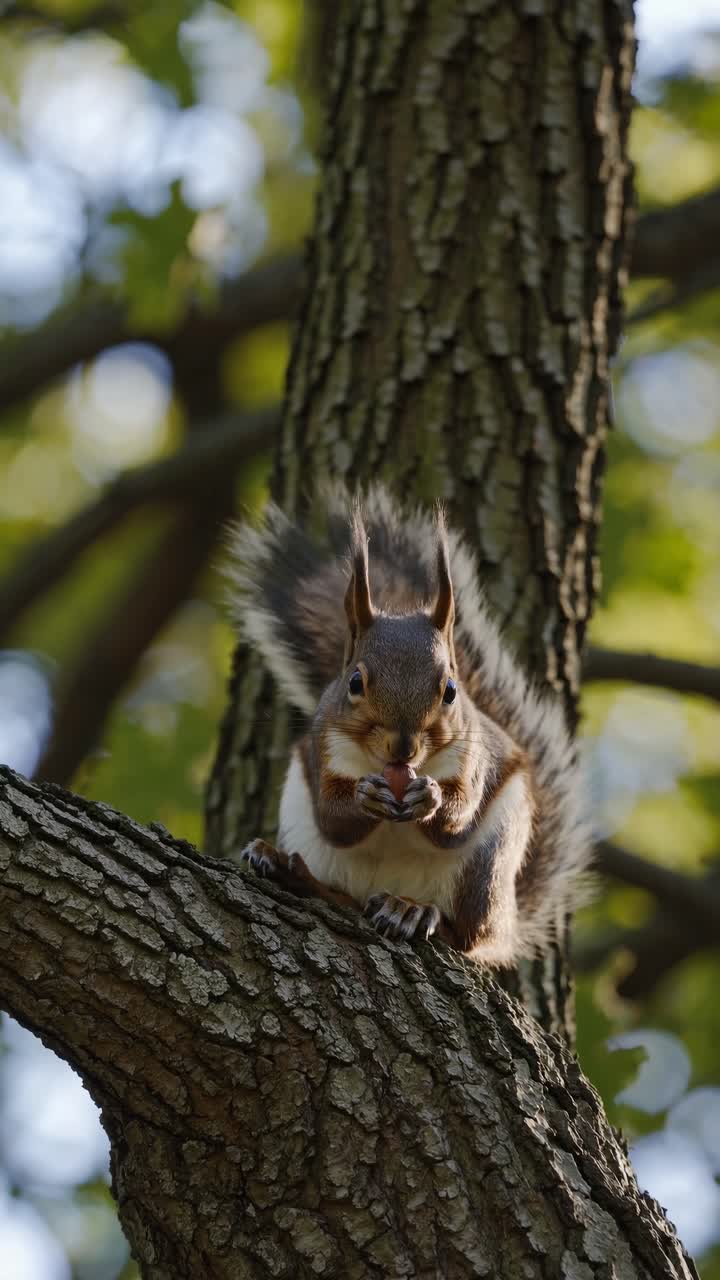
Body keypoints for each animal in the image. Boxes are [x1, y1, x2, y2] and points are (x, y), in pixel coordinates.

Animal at [227, 486, 591, 966]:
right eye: (355, 682)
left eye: (451, 690)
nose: (402, 748)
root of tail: (506, 927)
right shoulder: (323, 748)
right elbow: (333, 817)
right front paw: (364, 796)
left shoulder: (475, 757)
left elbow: (459, 815)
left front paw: (430, 797)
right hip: (308, 832)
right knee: (340, 895)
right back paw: (290, 869)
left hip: (487, 866)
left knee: (466, 935)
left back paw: (415, 912)